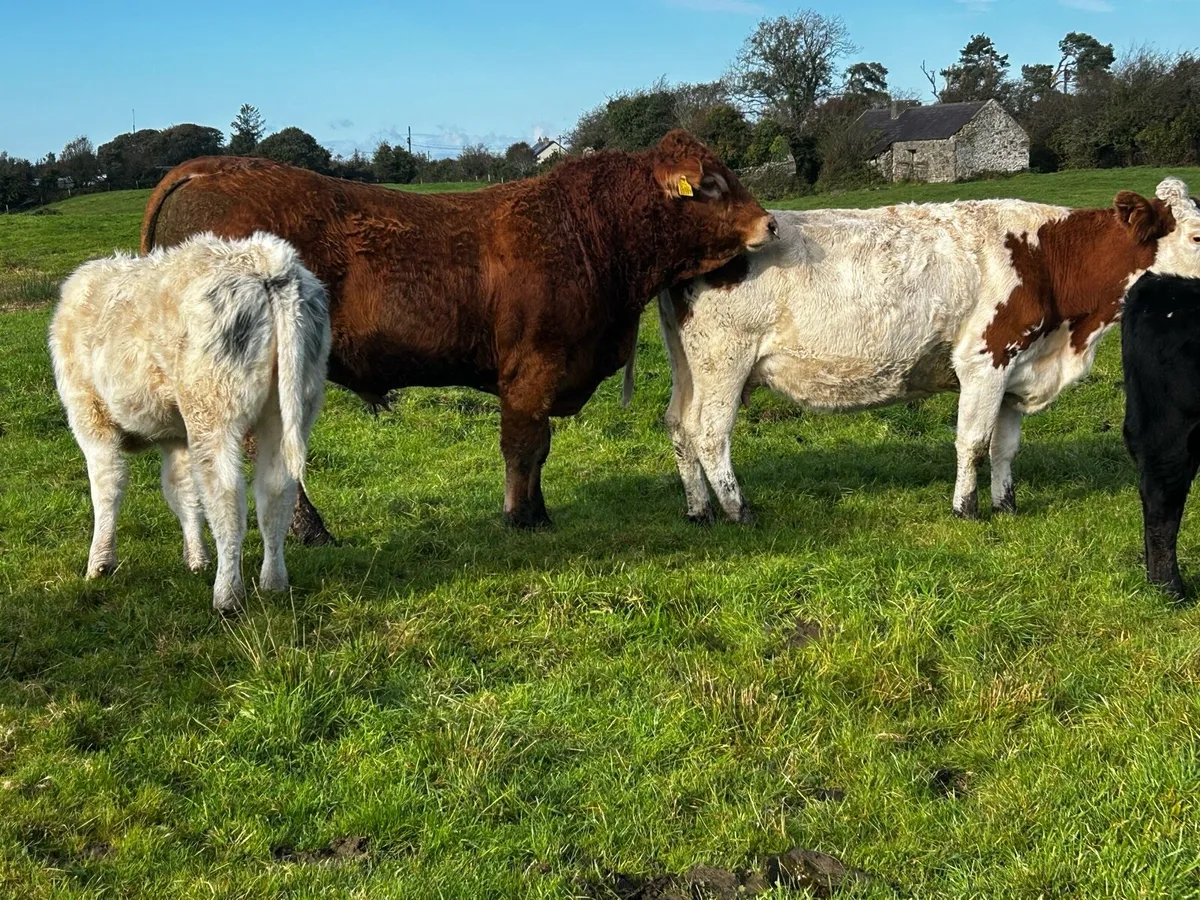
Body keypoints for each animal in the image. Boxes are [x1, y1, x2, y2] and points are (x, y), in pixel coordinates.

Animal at [49, 232, 332, 613]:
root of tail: (264, 258)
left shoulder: (90, 418)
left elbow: (108, 488)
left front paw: (100, 564)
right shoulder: (176, 437)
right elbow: (181, 491)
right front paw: (197, 559)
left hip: (212, 411)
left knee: (227, 496)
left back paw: (227, 595)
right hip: (290, 407)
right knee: (276, 491)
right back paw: (273, 583)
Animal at [140, 132, 777, 542]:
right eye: (711, 184)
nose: (770, 223)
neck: (591, 234)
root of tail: (210, 166)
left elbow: (538, 449)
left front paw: (537, 511)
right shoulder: (532, 371)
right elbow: (525, 447)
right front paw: (522, 517)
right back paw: (308, 530)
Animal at [656, 177, 1200, 524]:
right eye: (1197, 236)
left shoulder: (1016, 366)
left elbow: (1005, 446)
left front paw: (1007, 505)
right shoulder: (985, 359)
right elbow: (973, 442)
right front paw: (966, 510)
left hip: (688, 364)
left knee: (678, 425)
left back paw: (698, 510)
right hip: (723, 362)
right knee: (709, 434)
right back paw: (738, 510)